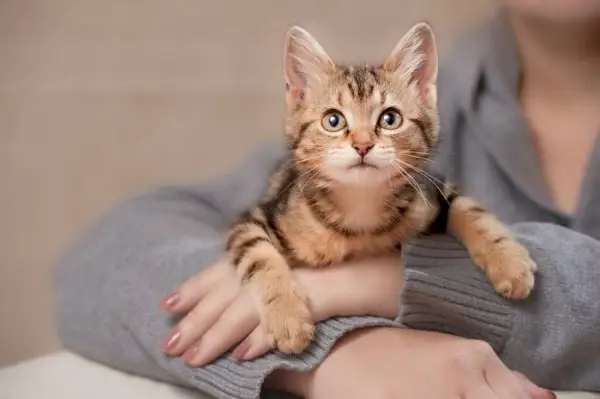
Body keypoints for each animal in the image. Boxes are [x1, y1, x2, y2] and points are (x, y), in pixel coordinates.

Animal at [227, 22, 536, 354]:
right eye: (333, 121)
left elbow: (471, 209)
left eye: (390, 119)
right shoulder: (255, 216)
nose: (363, 145)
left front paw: (508, 259)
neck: (361, 207)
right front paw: (287, 316)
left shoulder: (433, 190)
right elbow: (258, 255)